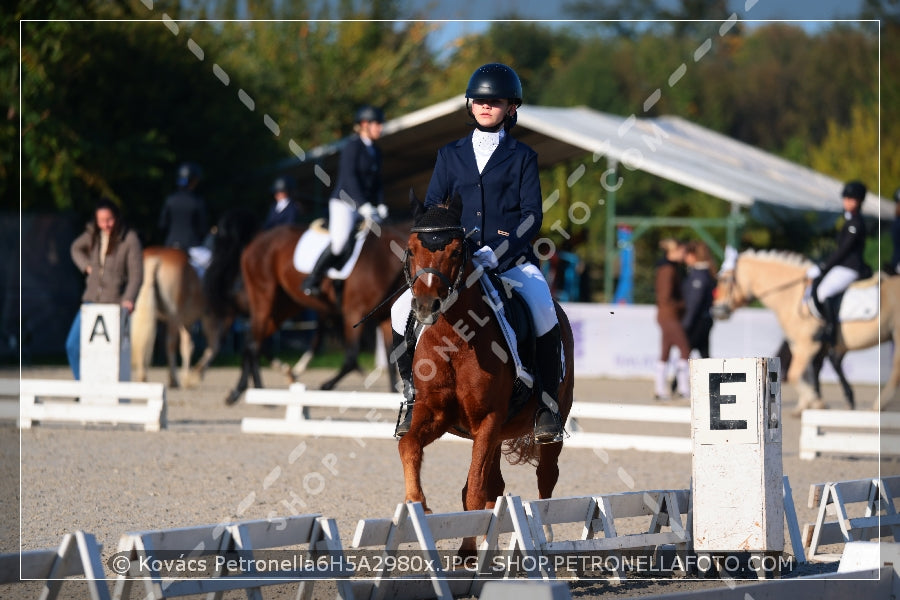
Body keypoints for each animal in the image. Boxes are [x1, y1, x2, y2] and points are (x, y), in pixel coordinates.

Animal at [223, 216, 406, 404]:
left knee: (252, 340)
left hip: (284, 306)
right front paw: (325, 386)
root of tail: (257, 240)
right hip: (263, 298)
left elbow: (393, 357)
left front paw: (394, 394)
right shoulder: (354, 312)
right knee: (253, 343)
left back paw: (241, 391)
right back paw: (260, 393)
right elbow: (351, 356)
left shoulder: (385, 317)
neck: (384, 259)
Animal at [400, 196, 576, 552]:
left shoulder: (488, 418)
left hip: (550, 418)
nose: (426, 306)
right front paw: (417, 503)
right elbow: (409, 445)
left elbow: (475, 490)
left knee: (546, 474)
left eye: (456, 251)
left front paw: (467, 553)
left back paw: (545, 535)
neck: (455, 338)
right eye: (411, 250)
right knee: (496, 484)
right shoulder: (435, 413)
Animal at [712, 248, 900, 412]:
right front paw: (804, 406)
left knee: (895, 370)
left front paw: (816, 403)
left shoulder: (808, 345)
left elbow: (794, 374)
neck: (791, 295)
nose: (716, 310)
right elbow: (805, 374)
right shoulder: (798, 345)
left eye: (724, 280)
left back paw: (878, 404)